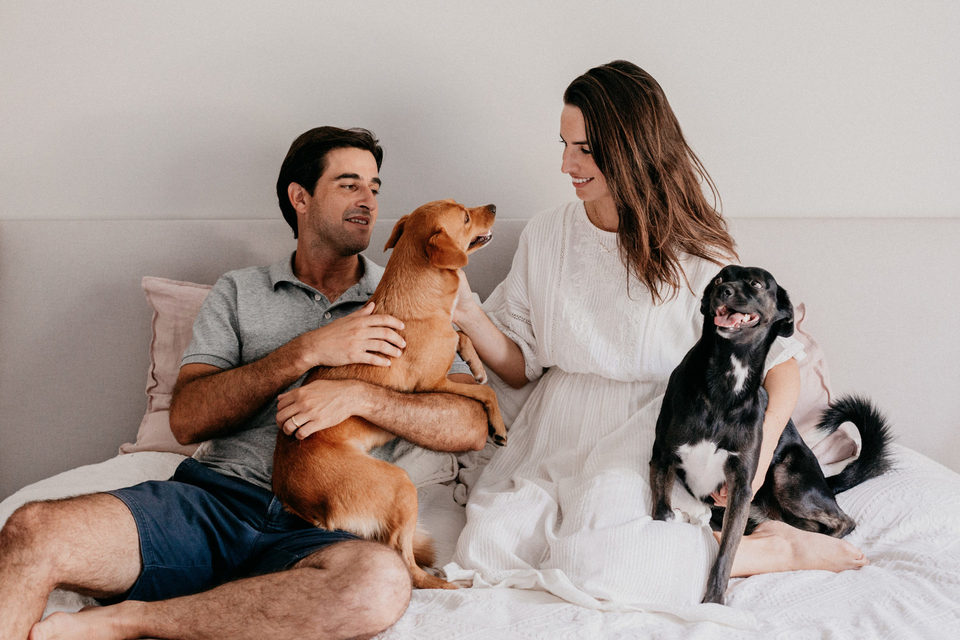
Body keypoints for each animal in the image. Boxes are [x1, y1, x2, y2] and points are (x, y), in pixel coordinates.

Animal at [273, 199, 507, 590]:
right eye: (465, 217)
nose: (492, 205)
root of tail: (299, 502)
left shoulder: (446, 358)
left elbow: (461, 337)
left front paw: (475, 361)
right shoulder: (433, 384)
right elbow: (486, 391)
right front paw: (499, 426)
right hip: (400, 485)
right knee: (409, 567)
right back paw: (449, 584)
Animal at [649, 265, 891, 604]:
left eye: (755, 283)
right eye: (720, 278)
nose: (721, 291)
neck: (726, 381)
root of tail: (824, 482)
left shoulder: (740, 488)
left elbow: (727, 553)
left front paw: (714, 602)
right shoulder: (662, 457)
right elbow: (662, 512)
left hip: (786, 477)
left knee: (843, 520)